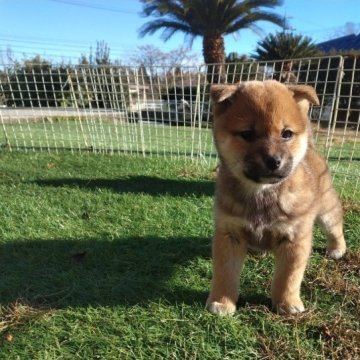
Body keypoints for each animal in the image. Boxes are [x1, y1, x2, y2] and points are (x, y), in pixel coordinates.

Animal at [208, 79, 346, 316]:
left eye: (286, 134)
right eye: (247, 134)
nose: (273, 161)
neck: (262, 193)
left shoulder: (295, 238)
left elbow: (288, 277)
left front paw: (287, 302)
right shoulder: (229, 234)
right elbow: (225, 273)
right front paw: (222, 301)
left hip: (326, 209)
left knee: (335, 226)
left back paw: (337, 248)